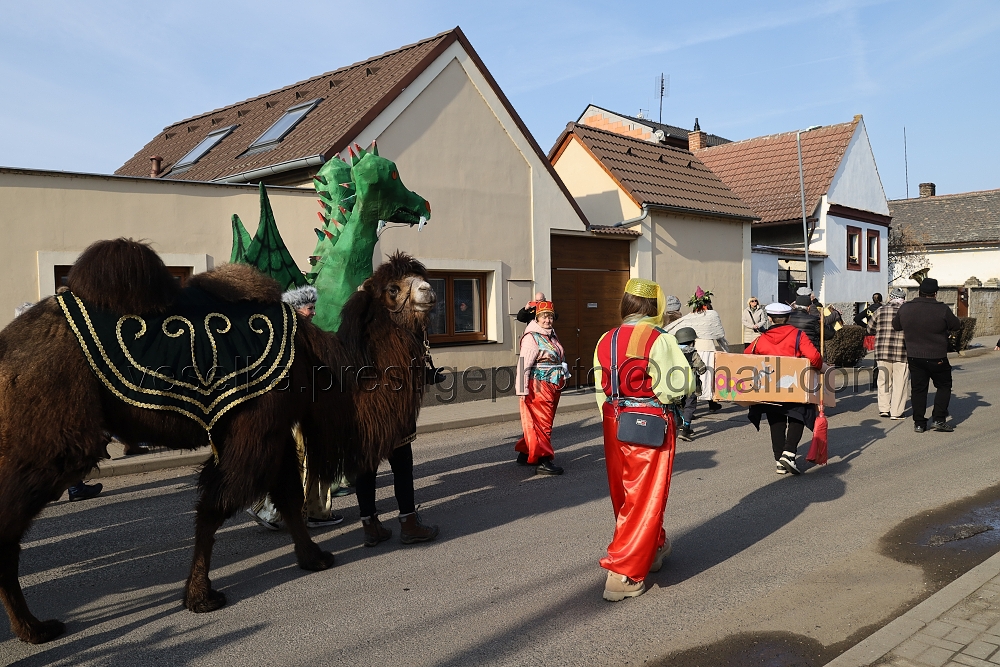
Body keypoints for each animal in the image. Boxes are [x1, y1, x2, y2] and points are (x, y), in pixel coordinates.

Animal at [0, 239, 434, 644]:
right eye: (393, 288)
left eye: (420, 274)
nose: (430, 291)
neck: (318, 363)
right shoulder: (254, 426)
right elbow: (214, 507)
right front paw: (200, 597)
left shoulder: (275, 430)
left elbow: (288, 497)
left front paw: (314, 558)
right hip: (53, 441)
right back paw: (34, 629)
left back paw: (30, 627)